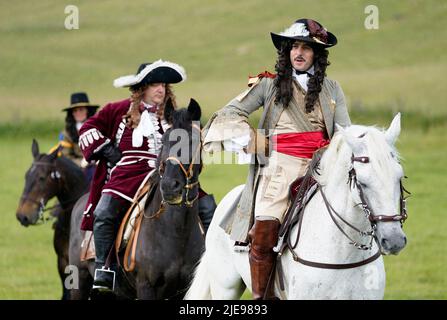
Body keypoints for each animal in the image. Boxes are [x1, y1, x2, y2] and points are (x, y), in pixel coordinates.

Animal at [68, 98, 206, 300]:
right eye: (165, 140)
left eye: (193, 141)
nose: (169, 186)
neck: (175, 232)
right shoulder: (146, 286)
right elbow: (90, 126)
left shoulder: (181, 291)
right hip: (80, 282)